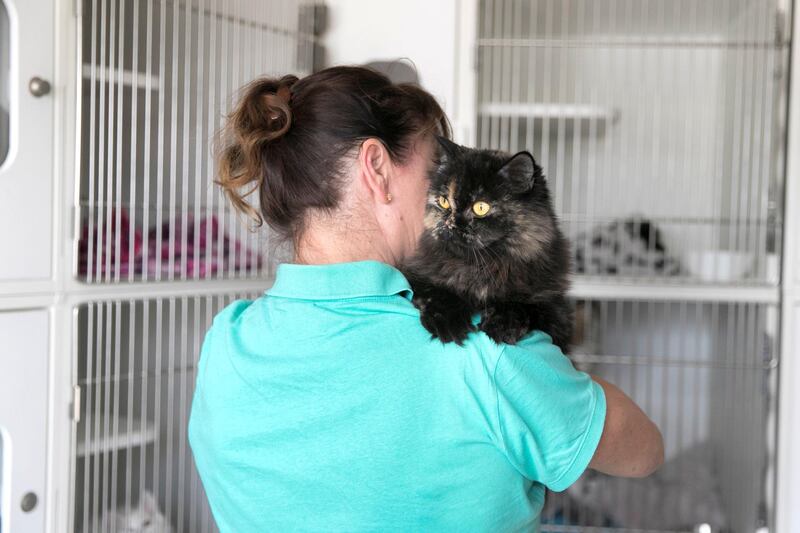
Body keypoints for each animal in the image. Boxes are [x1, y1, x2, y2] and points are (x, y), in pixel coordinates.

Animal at [404, 138, 572, 350]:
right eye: (444, 202)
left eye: (481, 207)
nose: (450, 224)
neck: (482, 268)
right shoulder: (417, 276)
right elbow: (436, 292)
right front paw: (448, 321)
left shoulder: (556, 310)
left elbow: (523, 306)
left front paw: (502, 323)